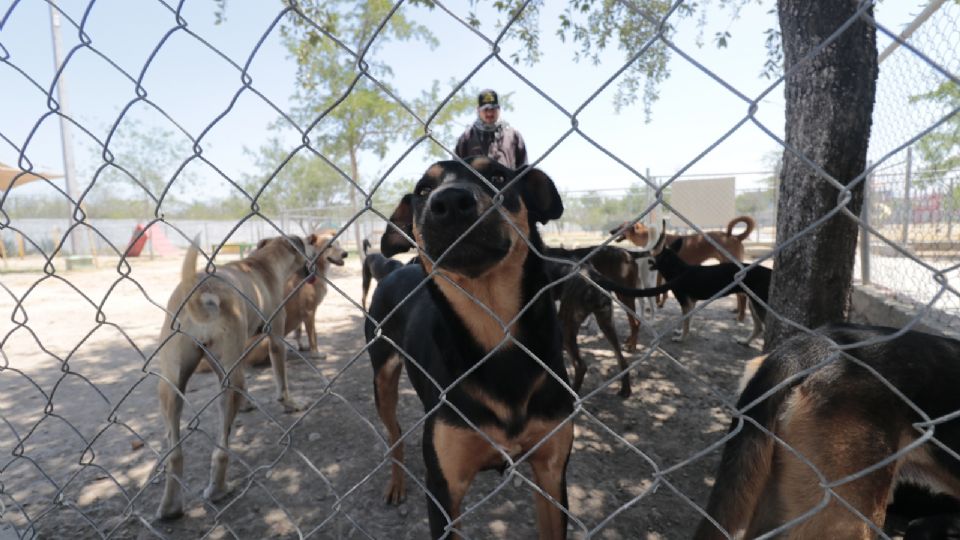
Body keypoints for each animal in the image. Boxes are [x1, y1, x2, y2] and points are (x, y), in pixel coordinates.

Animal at [366, 156, 576, 540]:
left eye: (498, 176)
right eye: (423, 190)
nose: (449, 202)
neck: (494, 336)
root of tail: (393, 268)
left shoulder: (552, 474)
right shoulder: (444, 489)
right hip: (382, 379)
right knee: (395, 436)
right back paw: (396, 484)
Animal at [612, 213, 752, 318]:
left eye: (621, 227)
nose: (611, 231)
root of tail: (736, 237)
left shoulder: (660, 272)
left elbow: (659, 291)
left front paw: (658, 304)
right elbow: (665, 292)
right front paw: (661, 304)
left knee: (742, 295)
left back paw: (741, 316)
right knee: (740, 293)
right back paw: (737, 310)